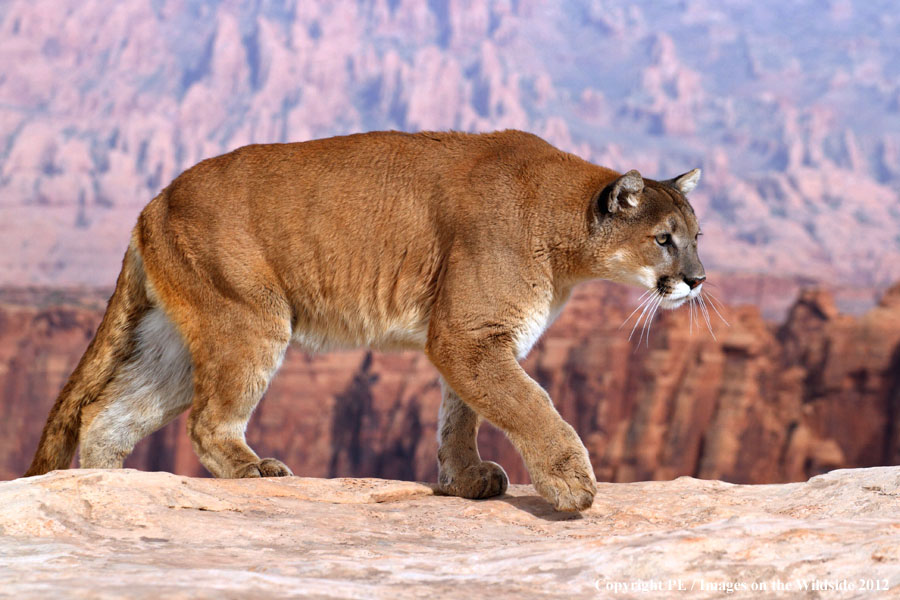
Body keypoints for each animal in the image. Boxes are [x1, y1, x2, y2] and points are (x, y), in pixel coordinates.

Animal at [25, 130, 705, 512]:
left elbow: (460, 413)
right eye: (664, 240)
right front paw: (571, 484)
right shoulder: (470, 336)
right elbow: (531, 407)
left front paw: (463, 478)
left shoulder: (470, 340)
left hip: (180, 339)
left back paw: (110, 490)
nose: (698, 280)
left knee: (105, 412)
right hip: (249, 319)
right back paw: (250, 469)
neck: (566, 234)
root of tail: (155, 199)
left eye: (697, 237)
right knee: (207, 420)